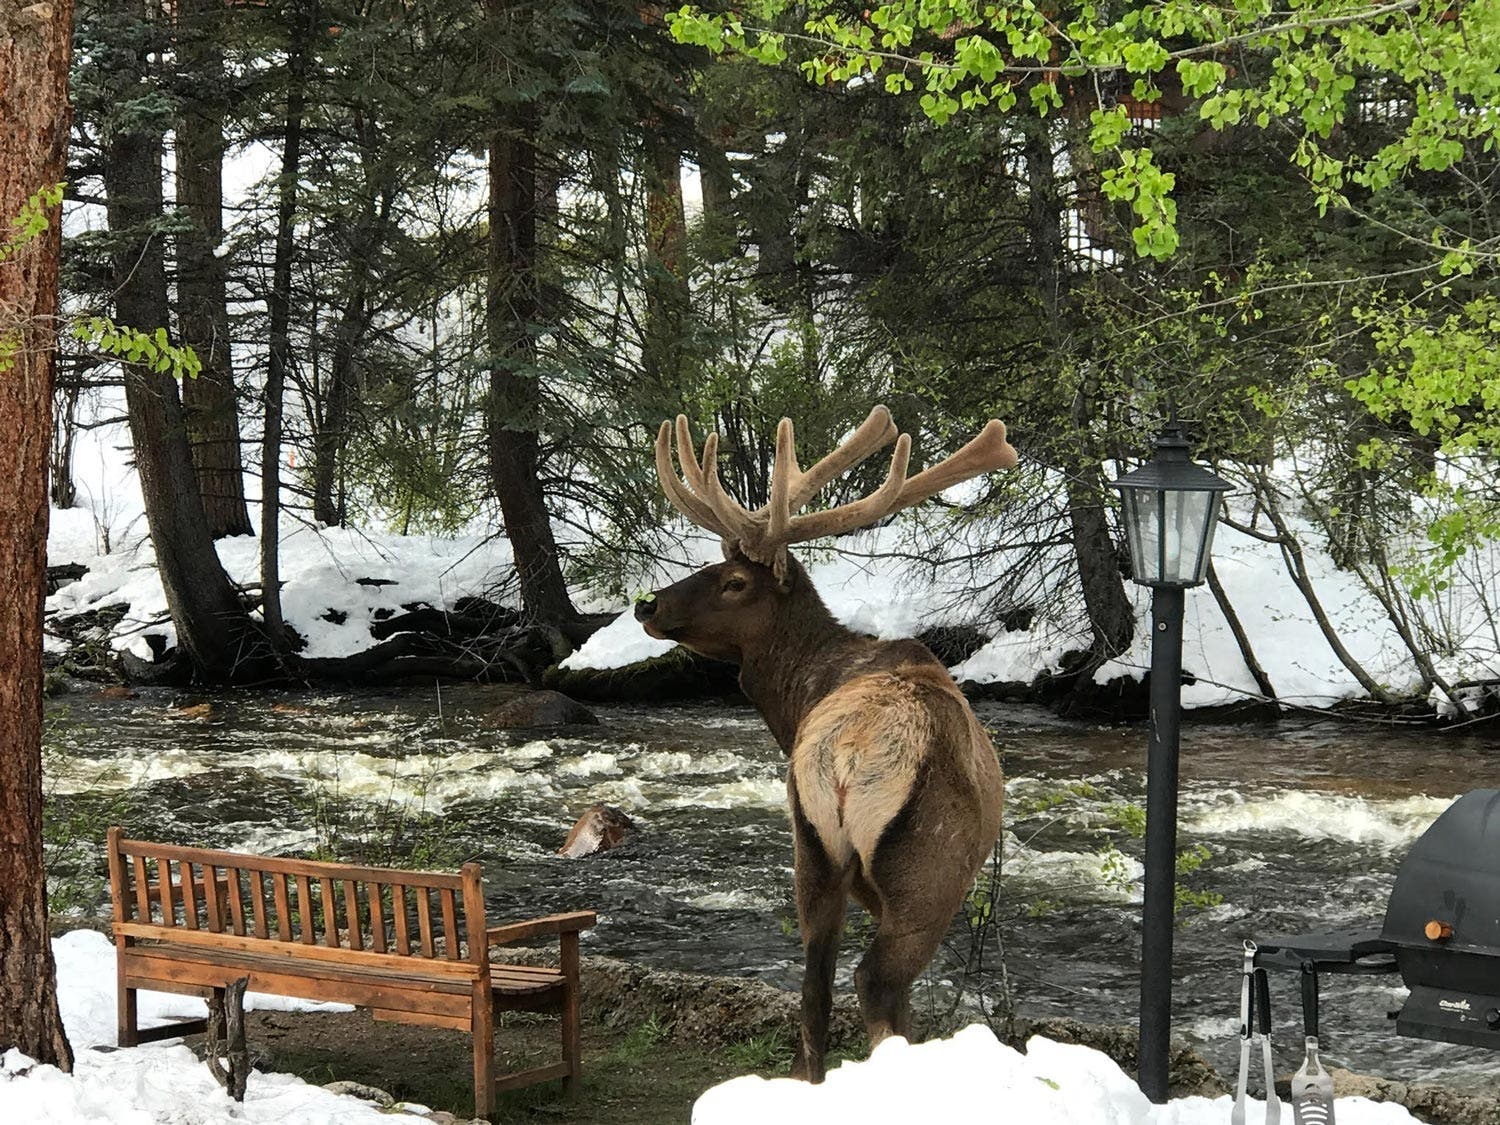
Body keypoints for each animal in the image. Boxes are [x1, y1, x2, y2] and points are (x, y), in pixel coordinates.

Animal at [633, 405, 1017, 1082]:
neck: (795, 706)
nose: (648, 605)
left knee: (814, 990)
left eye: (734, 581)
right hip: (928, 871)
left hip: (810, 844)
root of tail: (847, 752)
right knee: (875, 983)